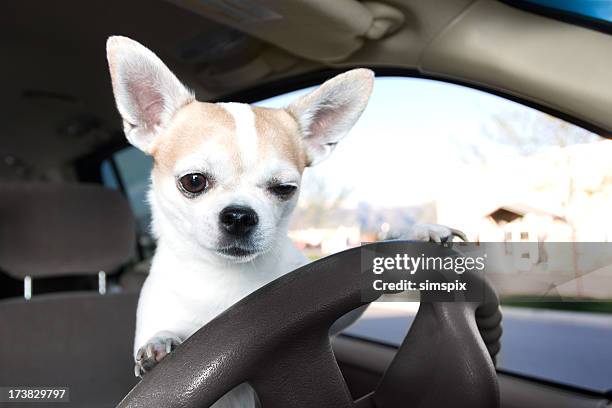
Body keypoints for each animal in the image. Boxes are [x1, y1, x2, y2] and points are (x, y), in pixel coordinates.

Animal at [106, 36, 460, 406]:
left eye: (284, 189)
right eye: (193, 181)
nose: (240, 215)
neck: (228, 276)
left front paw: (421, 232)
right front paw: (158, 343)